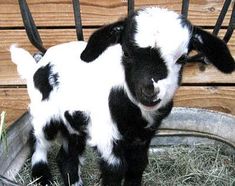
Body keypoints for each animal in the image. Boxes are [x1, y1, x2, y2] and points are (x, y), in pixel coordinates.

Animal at [10, 6, 233, 186]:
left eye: (183, 58)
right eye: (126, 53)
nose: (149, 90)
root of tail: (36, 65)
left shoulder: (142, 137)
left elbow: (138, 166)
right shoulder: (105, 133)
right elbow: (115, 170)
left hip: (73, 123)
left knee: (66, 157)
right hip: (44, 113)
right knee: (38, 143)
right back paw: (42, 178)